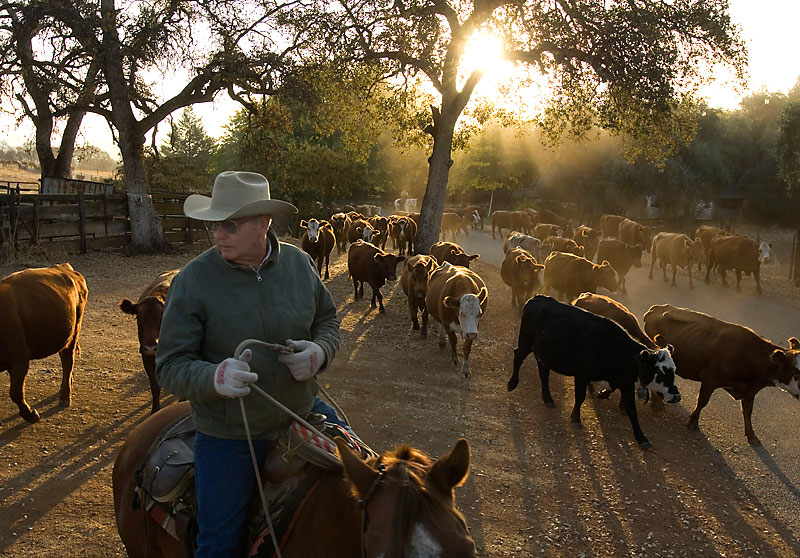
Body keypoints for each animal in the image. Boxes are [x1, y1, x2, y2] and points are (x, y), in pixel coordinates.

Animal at [0, 264, 87, 422]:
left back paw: (65, 396)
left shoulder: (20, 359)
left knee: (68, 360)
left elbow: (16, 393)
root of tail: (64, 267)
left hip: (74, 331)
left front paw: (31, 415)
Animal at [121, 272, 179, 416]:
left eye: (162, 318)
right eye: (139, 319)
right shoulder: (146, 356)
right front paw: (155, 410)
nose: (151, 347)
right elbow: (154, 385)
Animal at [506, 298, 680, 450]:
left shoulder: (626, 383)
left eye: (673, 371)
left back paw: (548, 398)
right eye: (660, 373)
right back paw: (512, 383)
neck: (613, 347)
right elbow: (580, 397)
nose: (677, 396)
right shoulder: (582, 375)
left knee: (543, 373)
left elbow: (631, 410)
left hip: (543, 355)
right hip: (525, 342)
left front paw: (642, 438)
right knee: (517, 356)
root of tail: (537, 298)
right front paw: (576, 418)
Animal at [644, 304, 800, 448]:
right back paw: (657, 404)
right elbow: (702, 401)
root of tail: (657, 308)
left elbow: (747, 412)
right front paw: (693, 422)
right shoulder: (710, 379)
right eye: (796, 371)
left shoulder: (749, 391)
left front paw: (752, 436)